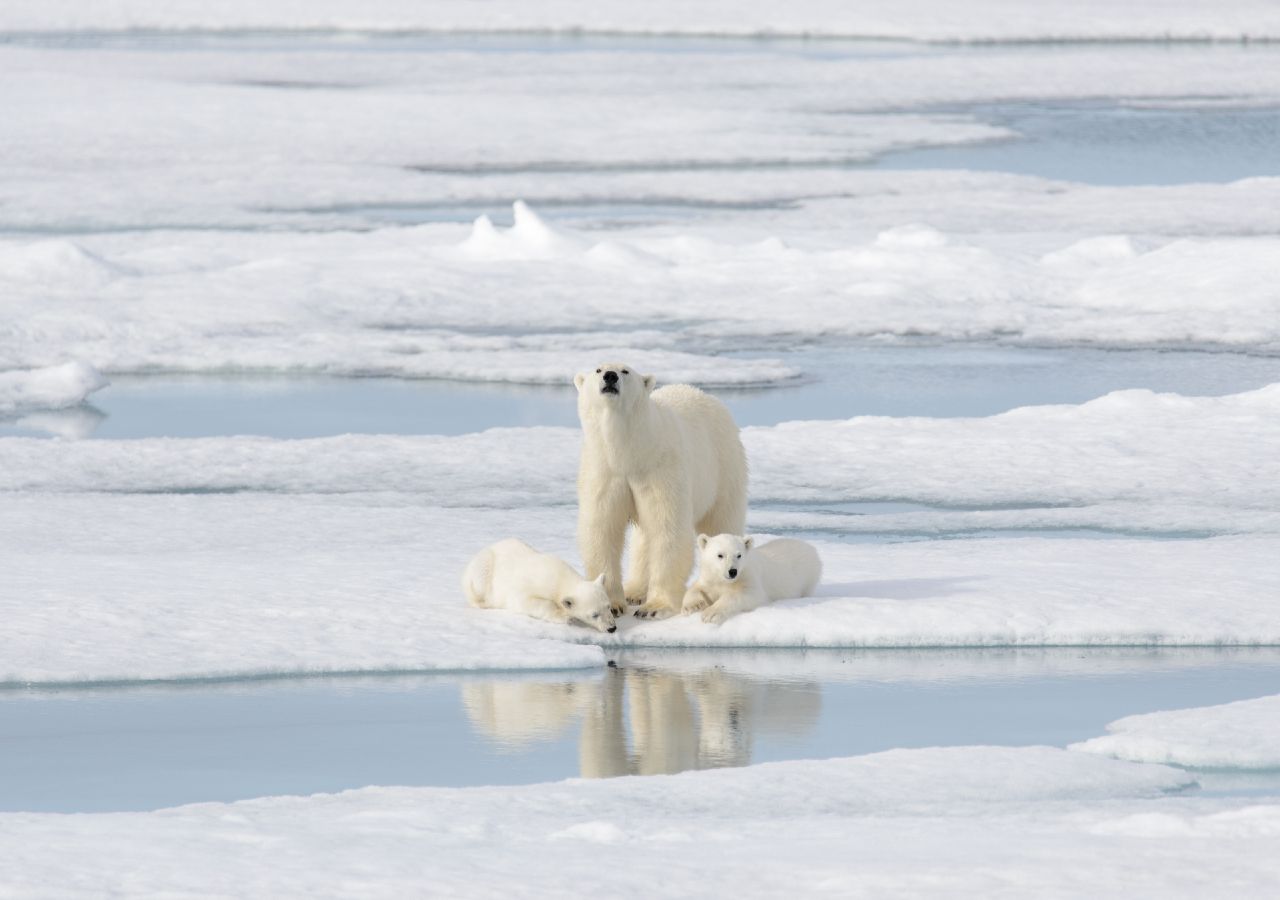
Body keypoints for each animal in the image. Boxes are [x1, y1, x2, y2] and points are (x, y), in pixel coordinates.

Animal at [463, 542, 616, 634]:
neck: (560, 577)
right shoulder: (527, 586)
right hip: (484, 566)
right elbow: (524, 601)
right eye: (594, 614)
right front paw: (565, 617)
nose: (612, 628)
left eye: (608, 607)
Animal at [573, 363, 747, 622]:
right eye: (598, 369)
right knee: (643, 539)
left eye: (625, 371)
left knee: (721, 519)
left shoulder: (660, 469)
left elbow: (668, 530)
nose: (610, 376)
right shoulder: (605, 471)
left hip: (724, 466)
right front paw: (612, 604)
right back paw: (635, 591)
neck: (629, 452)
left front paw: (654, 607)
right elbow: (602, 529)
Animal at [686, 535, 824, 627]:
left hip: (808, 576)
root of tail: (811, 547)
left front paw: (710, 614)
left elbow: (747, 595)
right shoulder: (711, 578)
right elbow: (697, 588)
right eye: (720, 555)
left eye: (739, 555)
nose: (732, 571)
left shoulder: (749, 576)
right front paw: (691, 606)